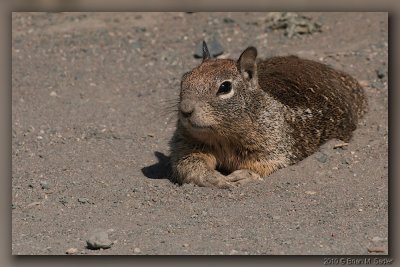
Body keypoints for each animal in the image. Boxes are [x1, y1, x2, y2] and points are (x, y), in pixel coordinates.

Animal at [168, 41, 366, 188]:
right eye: (184, 78)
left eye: (225, 87)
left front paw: (244, 175)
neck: (223, 136)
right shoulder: (187, 142)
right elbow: (187, 162)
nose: (185, 110)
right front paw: (212, 177)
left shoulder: (275, 145)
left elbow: (267, 163)